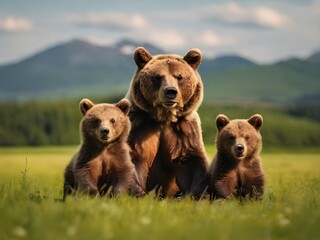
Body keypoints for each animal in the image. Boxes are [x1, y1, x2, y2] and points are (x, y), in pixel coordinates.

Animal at [126, 47, 209, 199]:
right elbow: (133, 155)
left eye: (179, 76)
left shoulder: (184, 130)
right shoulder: (138, 125)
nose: (171, 91)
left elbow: (191, 161)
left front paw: (199, 195)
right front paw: (138, 193)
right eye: (158, 76)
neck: (164, 117)